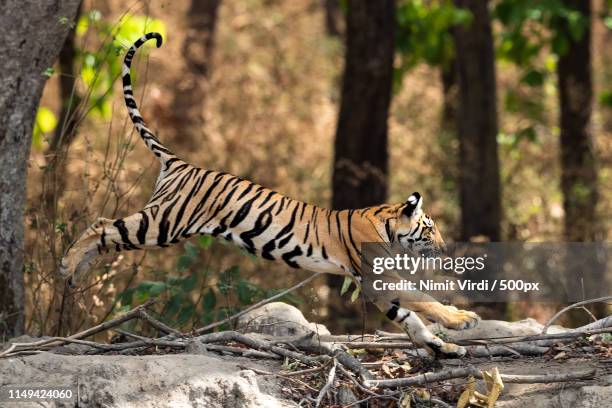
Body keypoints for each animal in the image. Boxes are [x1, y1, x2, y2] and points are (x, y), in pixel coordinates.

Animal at [59, 31, 480, 356]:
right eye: (430, 229)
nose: (445, 249)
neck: (388, 226)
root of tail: (181, 163)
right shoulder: (379, 276)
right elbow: (423, 300)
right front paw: (462, 320)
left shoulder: (373, 284)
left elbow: (409, 318)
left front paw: (441, 346)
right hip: (163, 223)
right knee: (100, 224)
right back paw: (68, 265)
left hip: (159, 221)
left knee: (106, 231)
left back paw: (76, 273)